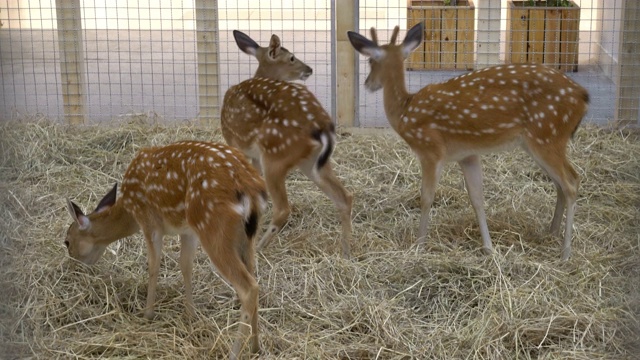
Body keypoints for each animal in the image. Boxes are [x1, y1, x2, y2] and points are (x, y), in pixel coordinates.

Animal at [64, 141, 264, 360]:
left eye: (67, 242)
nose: (73, 263)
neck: (129, 210)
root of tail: (249, 189)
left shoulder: (149, 221)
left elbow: (153, 265)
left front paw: (147, 314)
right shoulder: (188, 230)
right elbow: (185, 265)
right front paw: (190, 315)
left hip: (212, 226)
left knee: (248, 287)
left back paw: (234, 353)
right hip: (245, 236)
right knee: (254, 277)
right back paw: (255, 346)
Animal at [222, 29, 356, 258]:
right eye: (292, 57)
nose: (309, 69)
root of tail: (323, 128)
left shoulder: (235, 143)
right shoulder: (253, 156)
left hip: (276, 155)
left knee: (284, 208)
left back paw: (259, 247)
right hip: (313, 162)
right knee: (344, 197)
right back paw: (346, 252)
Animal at [350, 22, 592, 258]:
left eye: (370, 60)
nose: (367, 83)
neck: (405, 112)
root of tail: (583, 97)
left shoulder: (430, 150)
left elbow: (426, 197)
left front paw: (418, 244)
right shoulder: (467, 155)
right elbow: (477, 198)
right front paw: (489, 248)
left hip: (547, 135)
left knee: (571, 182)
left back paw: (566, 252)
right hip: (539, 141)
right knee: (561, 183)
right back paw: (550, 233)